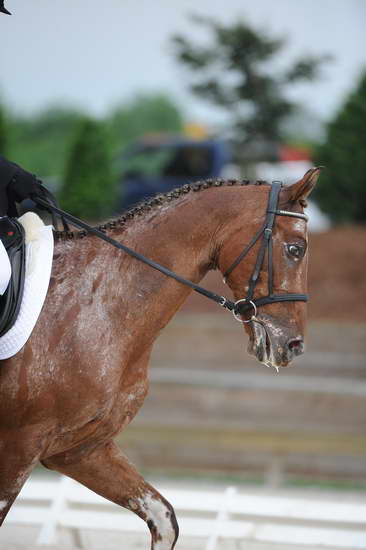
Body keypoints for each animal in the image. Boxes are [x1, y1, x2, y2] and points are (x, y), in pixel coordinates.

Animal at [0, 168, 320, 548]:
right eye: (295, 249)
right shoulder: (18, 447)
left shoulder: (78, 449)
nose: (294, 344)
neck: (99, 303)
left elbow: (164, 517)